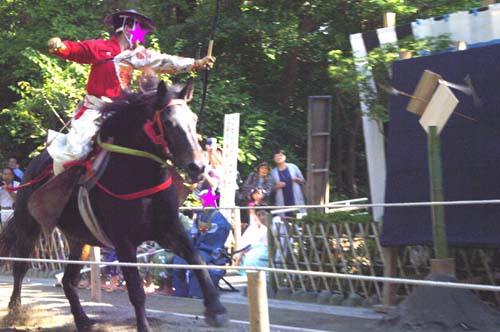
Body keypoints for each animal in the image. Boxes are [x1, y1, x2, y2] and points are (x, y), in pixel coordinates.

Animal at [0, 81, 229, 332]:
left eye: (194, 119)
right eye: (168, 122)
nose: (198, 166)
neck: (138, 176)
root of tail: (33, 166)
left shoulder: (168, 230)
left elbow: (197, 259)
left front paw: (216, 309)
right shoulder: (123, 240)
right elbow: (136, 291)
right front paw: (144, 327)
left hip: (79, 240)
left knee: (69, 280)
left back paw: (83, 320)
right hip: (28, 225)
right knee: (20, 266)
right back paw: (15, 311)